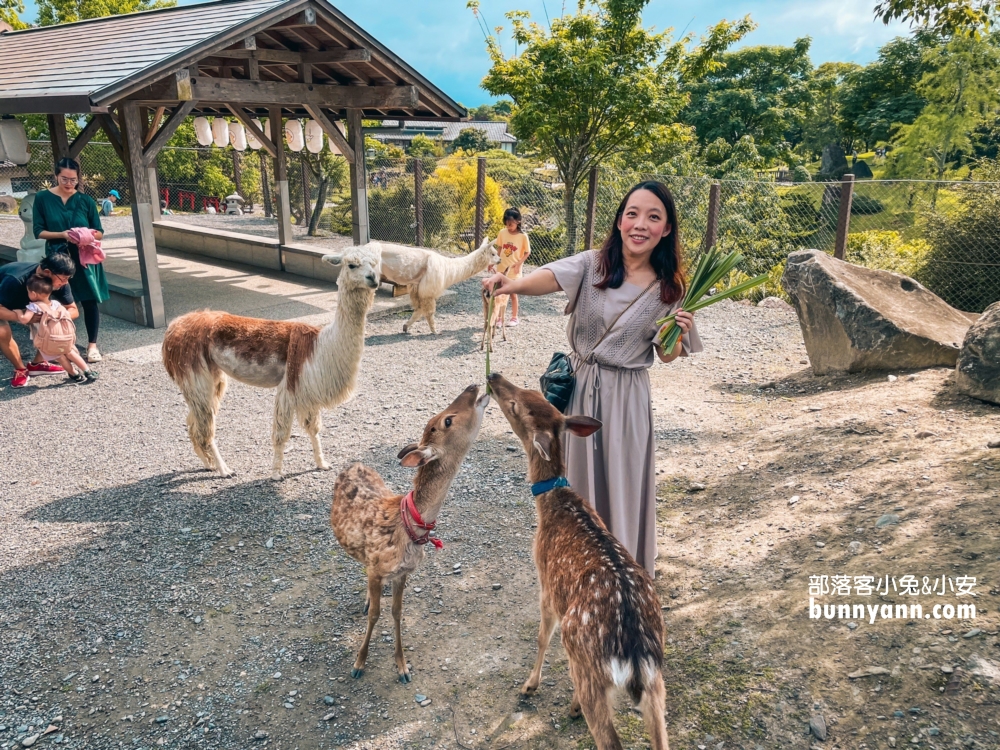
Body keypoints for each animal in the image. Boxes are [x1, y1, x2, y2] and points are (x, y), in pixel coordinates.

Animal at [330, 384, 490, 684]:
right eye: (447, 421)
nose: (473, 387)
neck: (408, 528)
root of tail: (354, 463)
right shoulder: (378, 567)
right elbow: (376, 615)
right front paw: (359, 663)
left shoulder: (403, 572)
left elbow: (396, 612)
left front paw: (402, 666)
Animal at [486, 374, 668, 750]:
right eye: (531, 392)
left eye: (515, 406)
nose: (493, 377)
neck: (554, 505)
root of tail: (634, 651)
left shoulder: (546, 582)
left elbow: (542, 636)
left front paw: (530, 685)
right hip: (655, 681)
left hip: (585, 651)